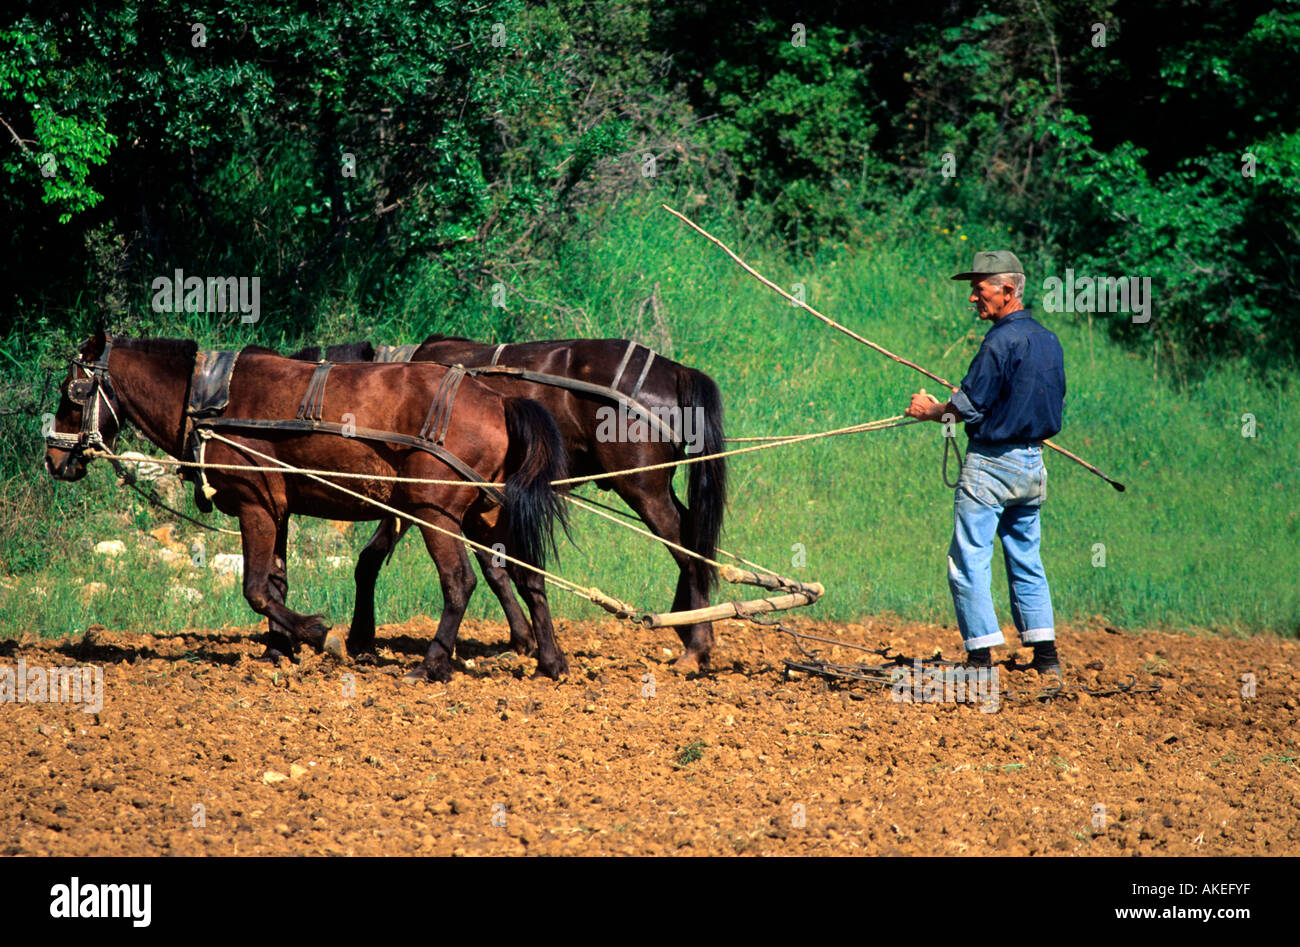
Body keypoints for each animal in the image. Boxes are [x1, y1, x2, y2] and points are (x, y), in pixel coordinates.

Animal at [44, 330, 571, 681]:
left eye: (73, 393)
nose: (53, 459)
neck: (211, 403)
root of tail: (497, 401)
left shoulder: (254, 505)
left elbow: (256, 589)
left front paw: (320, 634)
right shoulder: (277, 510)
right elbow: (276, 582)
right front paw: (278, 651)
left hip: (435, 514)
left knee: (459, 582)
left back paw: (432, 665)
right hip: (487, 514)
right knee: (527, 578)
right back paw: (551, 662)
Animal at [295, 335, 728, 673]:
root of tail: (675, 371)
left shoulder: (421, 499)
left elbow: (375, 559)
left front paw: (360, 637)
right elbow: (498, 570)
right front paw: (526, 640)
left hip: (642, 488)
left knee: (687, 550)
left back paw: (696, 646)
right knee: (692, 538)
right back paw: (685, 623)